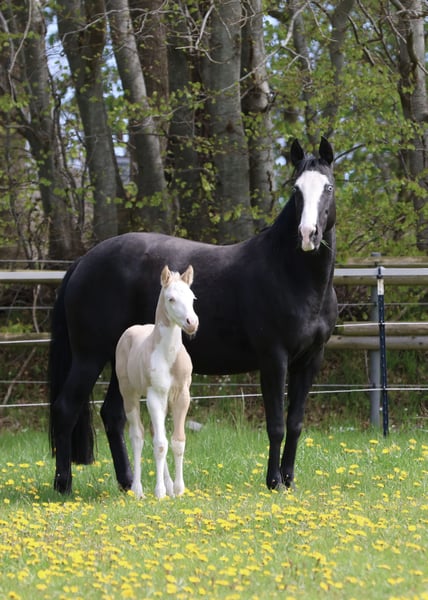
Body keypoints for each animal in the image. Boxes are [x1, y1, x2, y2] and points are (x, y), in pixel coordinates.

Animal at [115, 265, 198, 499]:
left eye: (192, 298)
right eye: (171, 299)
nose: (192, 323)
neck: (168, 357)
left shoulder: (182, 396)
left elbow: (178, 441)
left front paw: (178, 489)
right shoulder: (155, 396)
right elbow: (160, 445)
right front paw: (160, 492)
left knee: (153, 432)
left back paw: (169, 486)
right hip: (129, 394)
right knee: (138, 436)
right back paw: (138, 489)